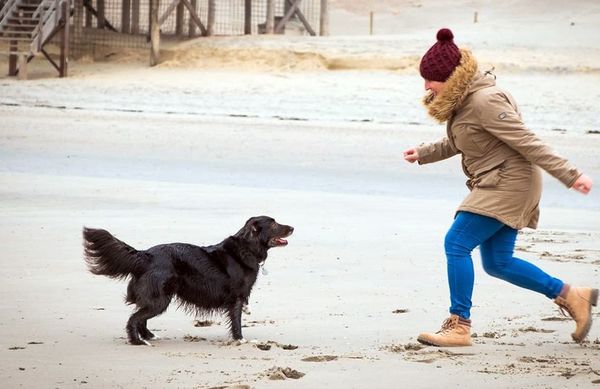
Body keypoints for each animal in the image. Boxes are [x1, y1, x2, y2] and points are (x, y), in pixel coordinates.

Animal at [82, 215, 292, 346]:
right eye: (273, 224)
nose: (292, 227)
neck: (247, 248)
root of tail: (146, 255)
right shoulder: (236, 298)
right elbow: (237, 321)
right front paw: (240, 340)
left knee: (140, 317)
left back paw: (150, 336)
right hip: (160, 299)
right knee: (134, 319)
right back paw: (138, 341)